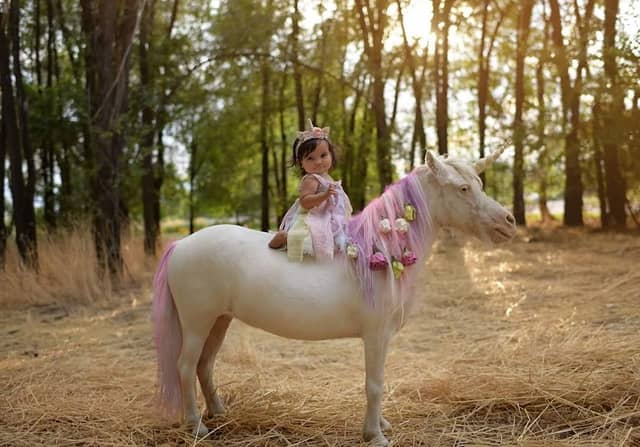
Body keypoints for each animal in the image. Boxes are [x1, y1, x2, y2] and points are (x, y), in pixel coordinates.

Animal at [151, 149, 516, 446]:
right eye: (463, 188)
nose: (508, 221)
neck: (380, 251)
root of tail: (181, 245)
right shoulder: (375, 336)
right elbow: (374, 384)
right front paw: (375, 435)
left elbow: (378, 383)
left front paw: (381, 425)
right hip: (197, 323)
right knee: (186, 366)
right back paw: (197, 426)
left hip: (219, 321)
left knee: (205, 365)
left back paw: (218, 412)